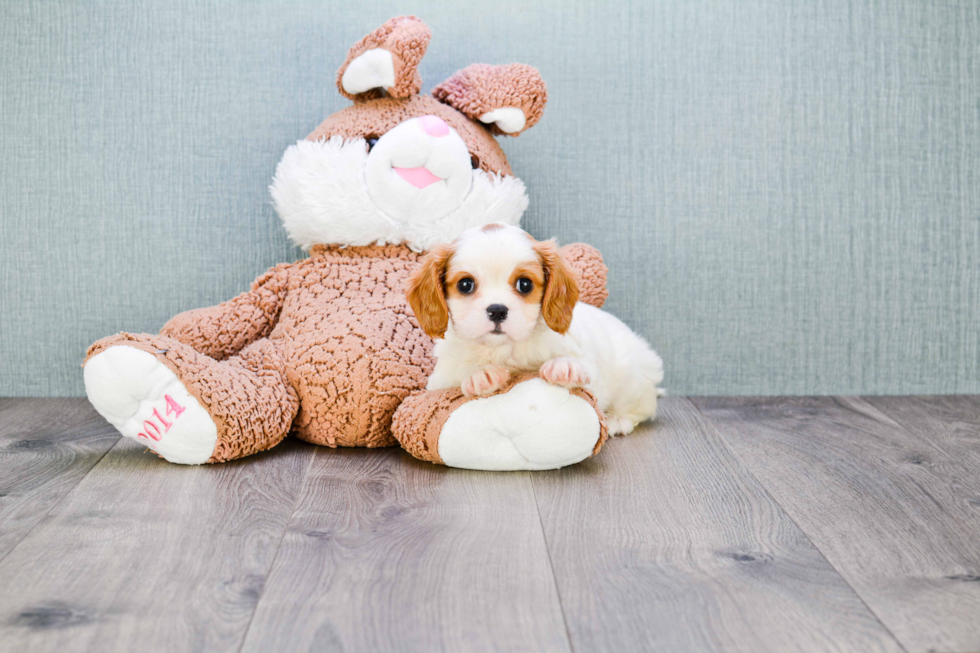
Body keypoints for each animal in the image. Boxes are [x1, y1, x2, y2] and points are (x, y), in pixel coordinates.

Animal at [406, 222, 668, 436]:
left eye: (525, 284)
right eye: (465, 284)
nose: (497, 310)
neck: (505, 349)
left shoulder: (590, 371)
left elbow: (584, 370)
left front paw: (566, 366)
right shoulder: (438, 381)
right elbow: (458, 372)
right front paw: (480, 374)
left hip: (634, 379)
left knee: (642, 408)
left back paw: (617, 420)